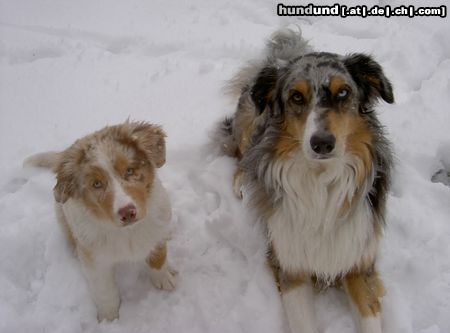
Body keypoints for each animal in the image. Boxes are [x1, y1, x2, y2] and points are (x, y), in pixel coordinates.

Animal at [23, 120, 176, 320]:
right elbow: (105, 291)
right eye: (96, 184)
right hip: (63, 218)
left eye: (130, 171)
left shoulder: (157, 229)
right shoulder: (96, 262)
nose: (127, 212)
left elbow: (158, 257)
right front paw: (109, 318)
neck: (127, 233)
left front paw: (164, 278)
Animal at [217, 29, 394, 332]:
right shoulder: (290, 265)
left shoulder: (360, 261)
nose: (322, 143)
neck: (321, 181)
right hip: (252, 120)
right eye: (296, 97)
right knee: (242, 156)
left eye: (343, 92)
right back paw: (243, 184)